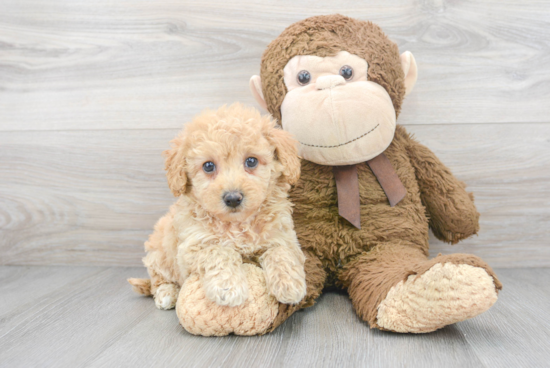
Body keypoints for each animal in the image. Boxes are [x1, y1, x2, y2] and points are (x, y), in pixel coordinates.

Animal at [130, 103, 310, 310]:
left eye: (251, 161)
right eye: (208, 166)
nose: (232, 198)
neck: (238, 223)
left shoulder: (284, 236)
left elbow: (280, 251)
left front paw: (289, 284)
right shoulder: (191, 248)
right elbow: (219, 251)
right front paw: (228, 287)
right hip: (159, 252)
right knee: (158, 280)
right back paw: (166, 293)